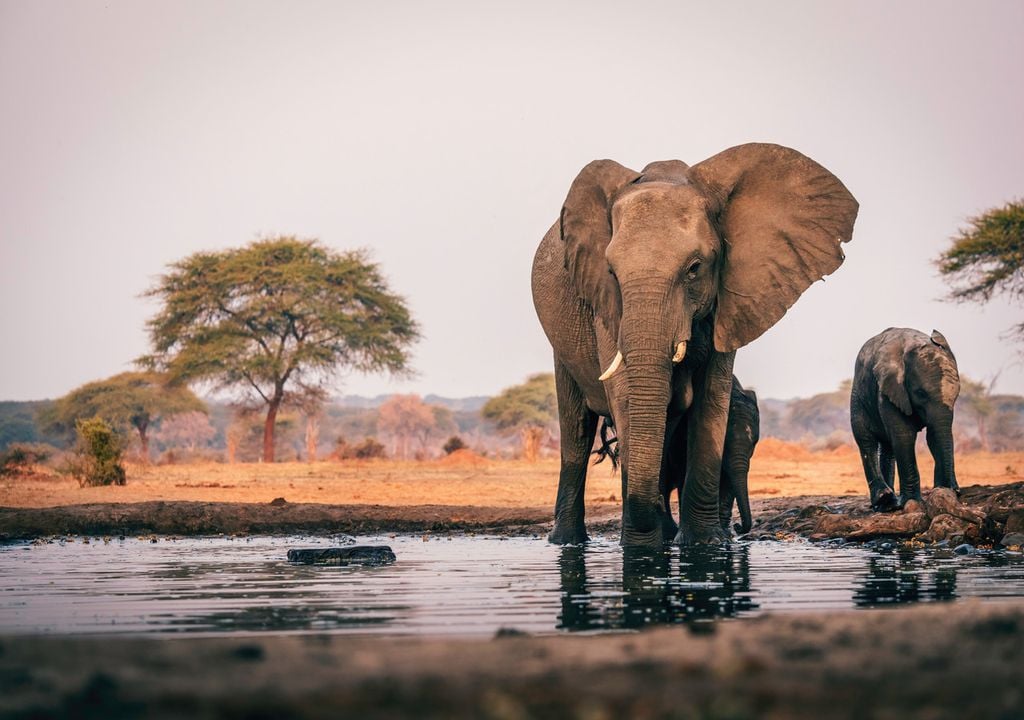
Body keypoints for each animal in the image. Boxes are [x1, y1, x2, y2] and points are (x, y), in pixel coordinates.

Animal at [532, 142, 860, 544]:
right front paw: (640, 548)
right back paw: (569, 540)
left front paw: (704, 544)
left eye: (695, 268)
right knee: (577, 429)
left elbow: (712, 399)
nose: (739, 529)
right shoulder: (606, 306)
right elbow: (625, 395)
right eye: (611, 272)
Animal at [847, 327, 958, 512]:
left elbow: (934, 435)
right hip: (858, 397)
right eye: (920, 393)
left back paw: (889, 503)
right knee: (866, 441)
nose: (952, 491)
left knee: (888, 447)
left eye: (957, 394)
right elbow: (904, 436)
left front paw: (943, 492)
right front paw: (912, 503)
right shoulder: (889, 389)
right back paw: (883, 499)